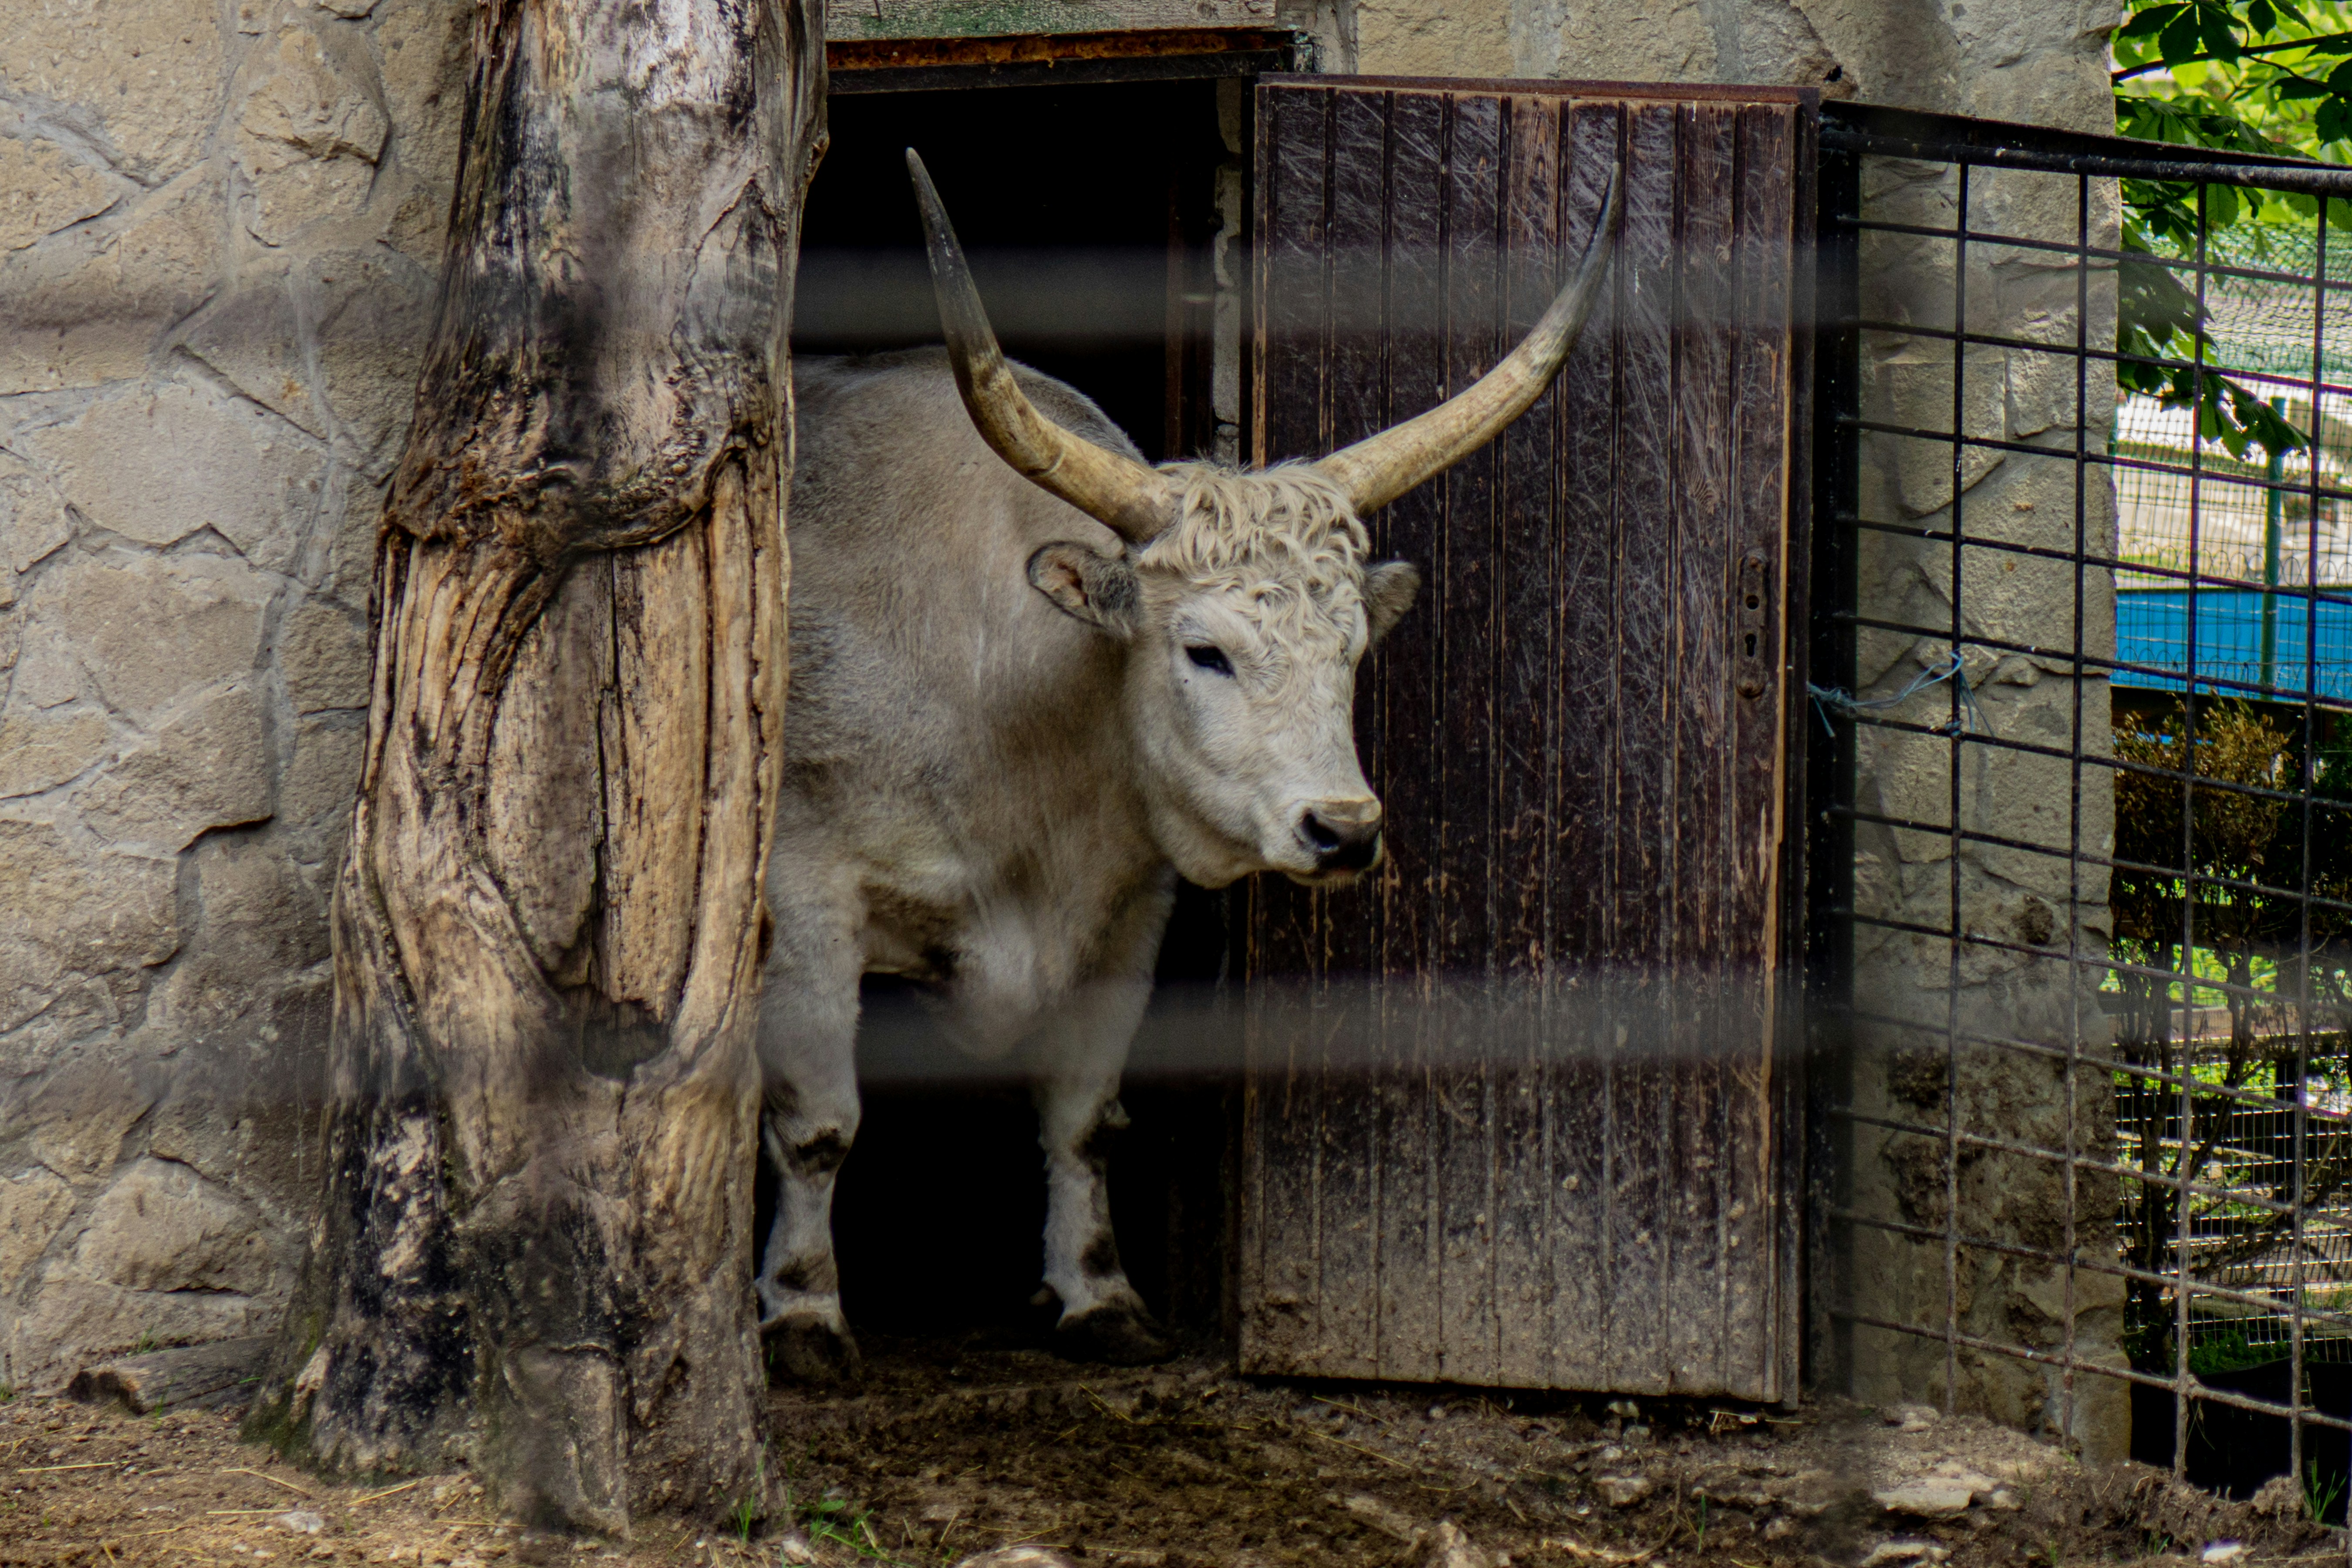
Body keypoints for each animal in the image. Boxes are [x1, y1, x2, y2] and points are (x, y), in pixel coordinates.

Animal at [755, 151, 1620, 1378]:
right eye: (1204, 650)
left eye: (1353, 647)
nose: (1342, 829)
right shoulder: (807, 895)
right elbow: (820, 1122)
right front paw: (802, 1312)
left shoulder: (1131, 908)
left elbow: (1084, 1111)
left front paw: (1096, 1290)